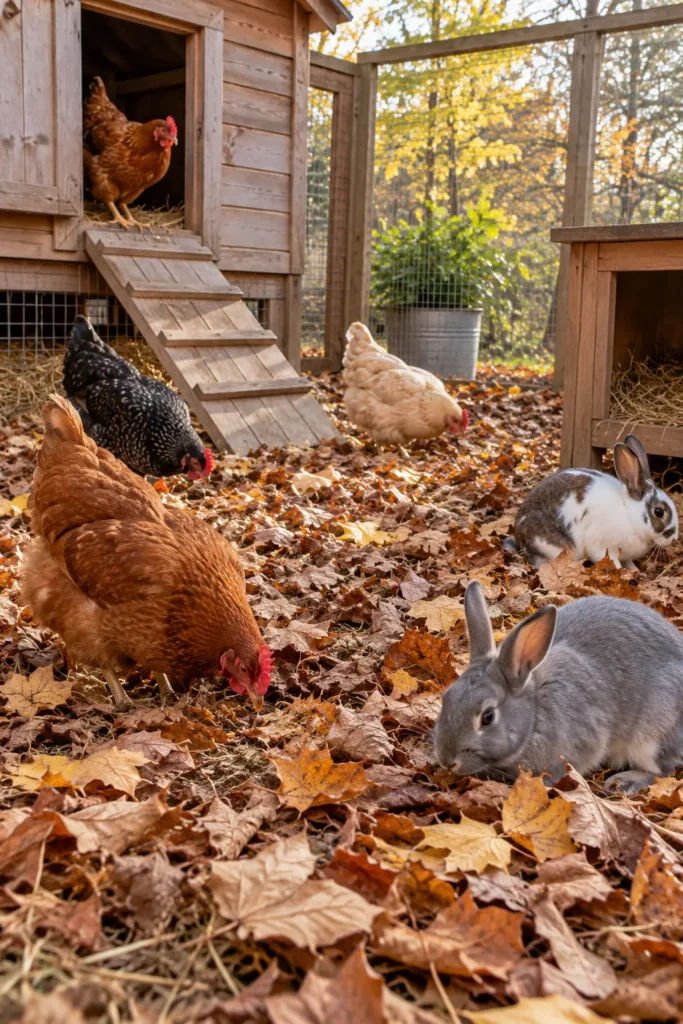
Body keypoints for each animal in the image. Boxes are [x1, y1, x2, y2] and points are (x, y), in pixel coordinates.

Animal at [433, 580, 683, 794]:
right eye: (447, 698)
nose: (447, 760)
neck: (534, 716)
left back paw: (625, 782)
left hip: (653, 735)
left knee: (663, 769)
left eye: (487, 717)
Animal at [506, 434, 678, 568]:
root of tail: (519, 536)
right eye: (659, 512)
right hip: (555, 547)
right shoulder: (604, 547)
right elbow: (613, 562)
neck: (629, 515)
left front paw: (634, 571)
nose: (674, 539)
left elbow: (628, 563)